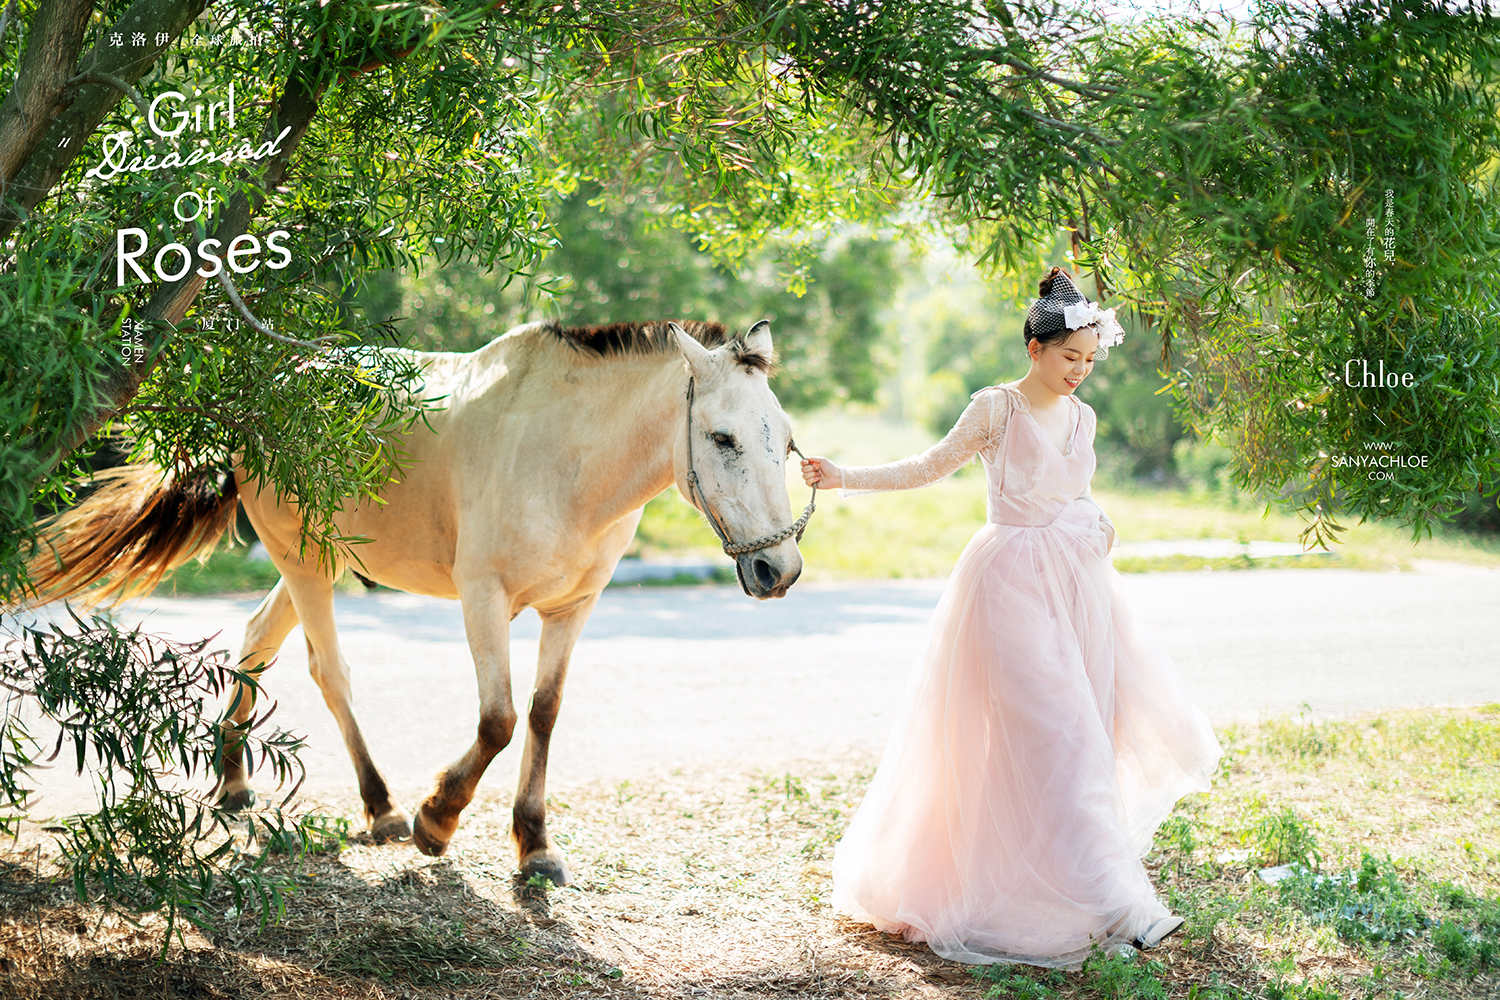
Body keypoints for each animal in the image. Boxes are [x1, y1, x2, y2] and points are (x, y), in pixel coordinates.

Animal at [20, 320, 810, 881]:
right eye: (722, 438)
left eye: (786, 442)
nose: (779, 567)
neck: (569, 455)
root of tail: (265, 395)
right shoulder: (482, 599)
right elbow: (497, 720)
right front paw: (439, 819)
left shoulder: (573, 609)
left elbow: (543, 715)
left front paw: (534, 846)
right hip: (304, 561)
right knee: (327, 671)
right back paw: (383, 808)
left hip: (318, 561)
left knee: (256, 639)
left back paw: (237, 781)